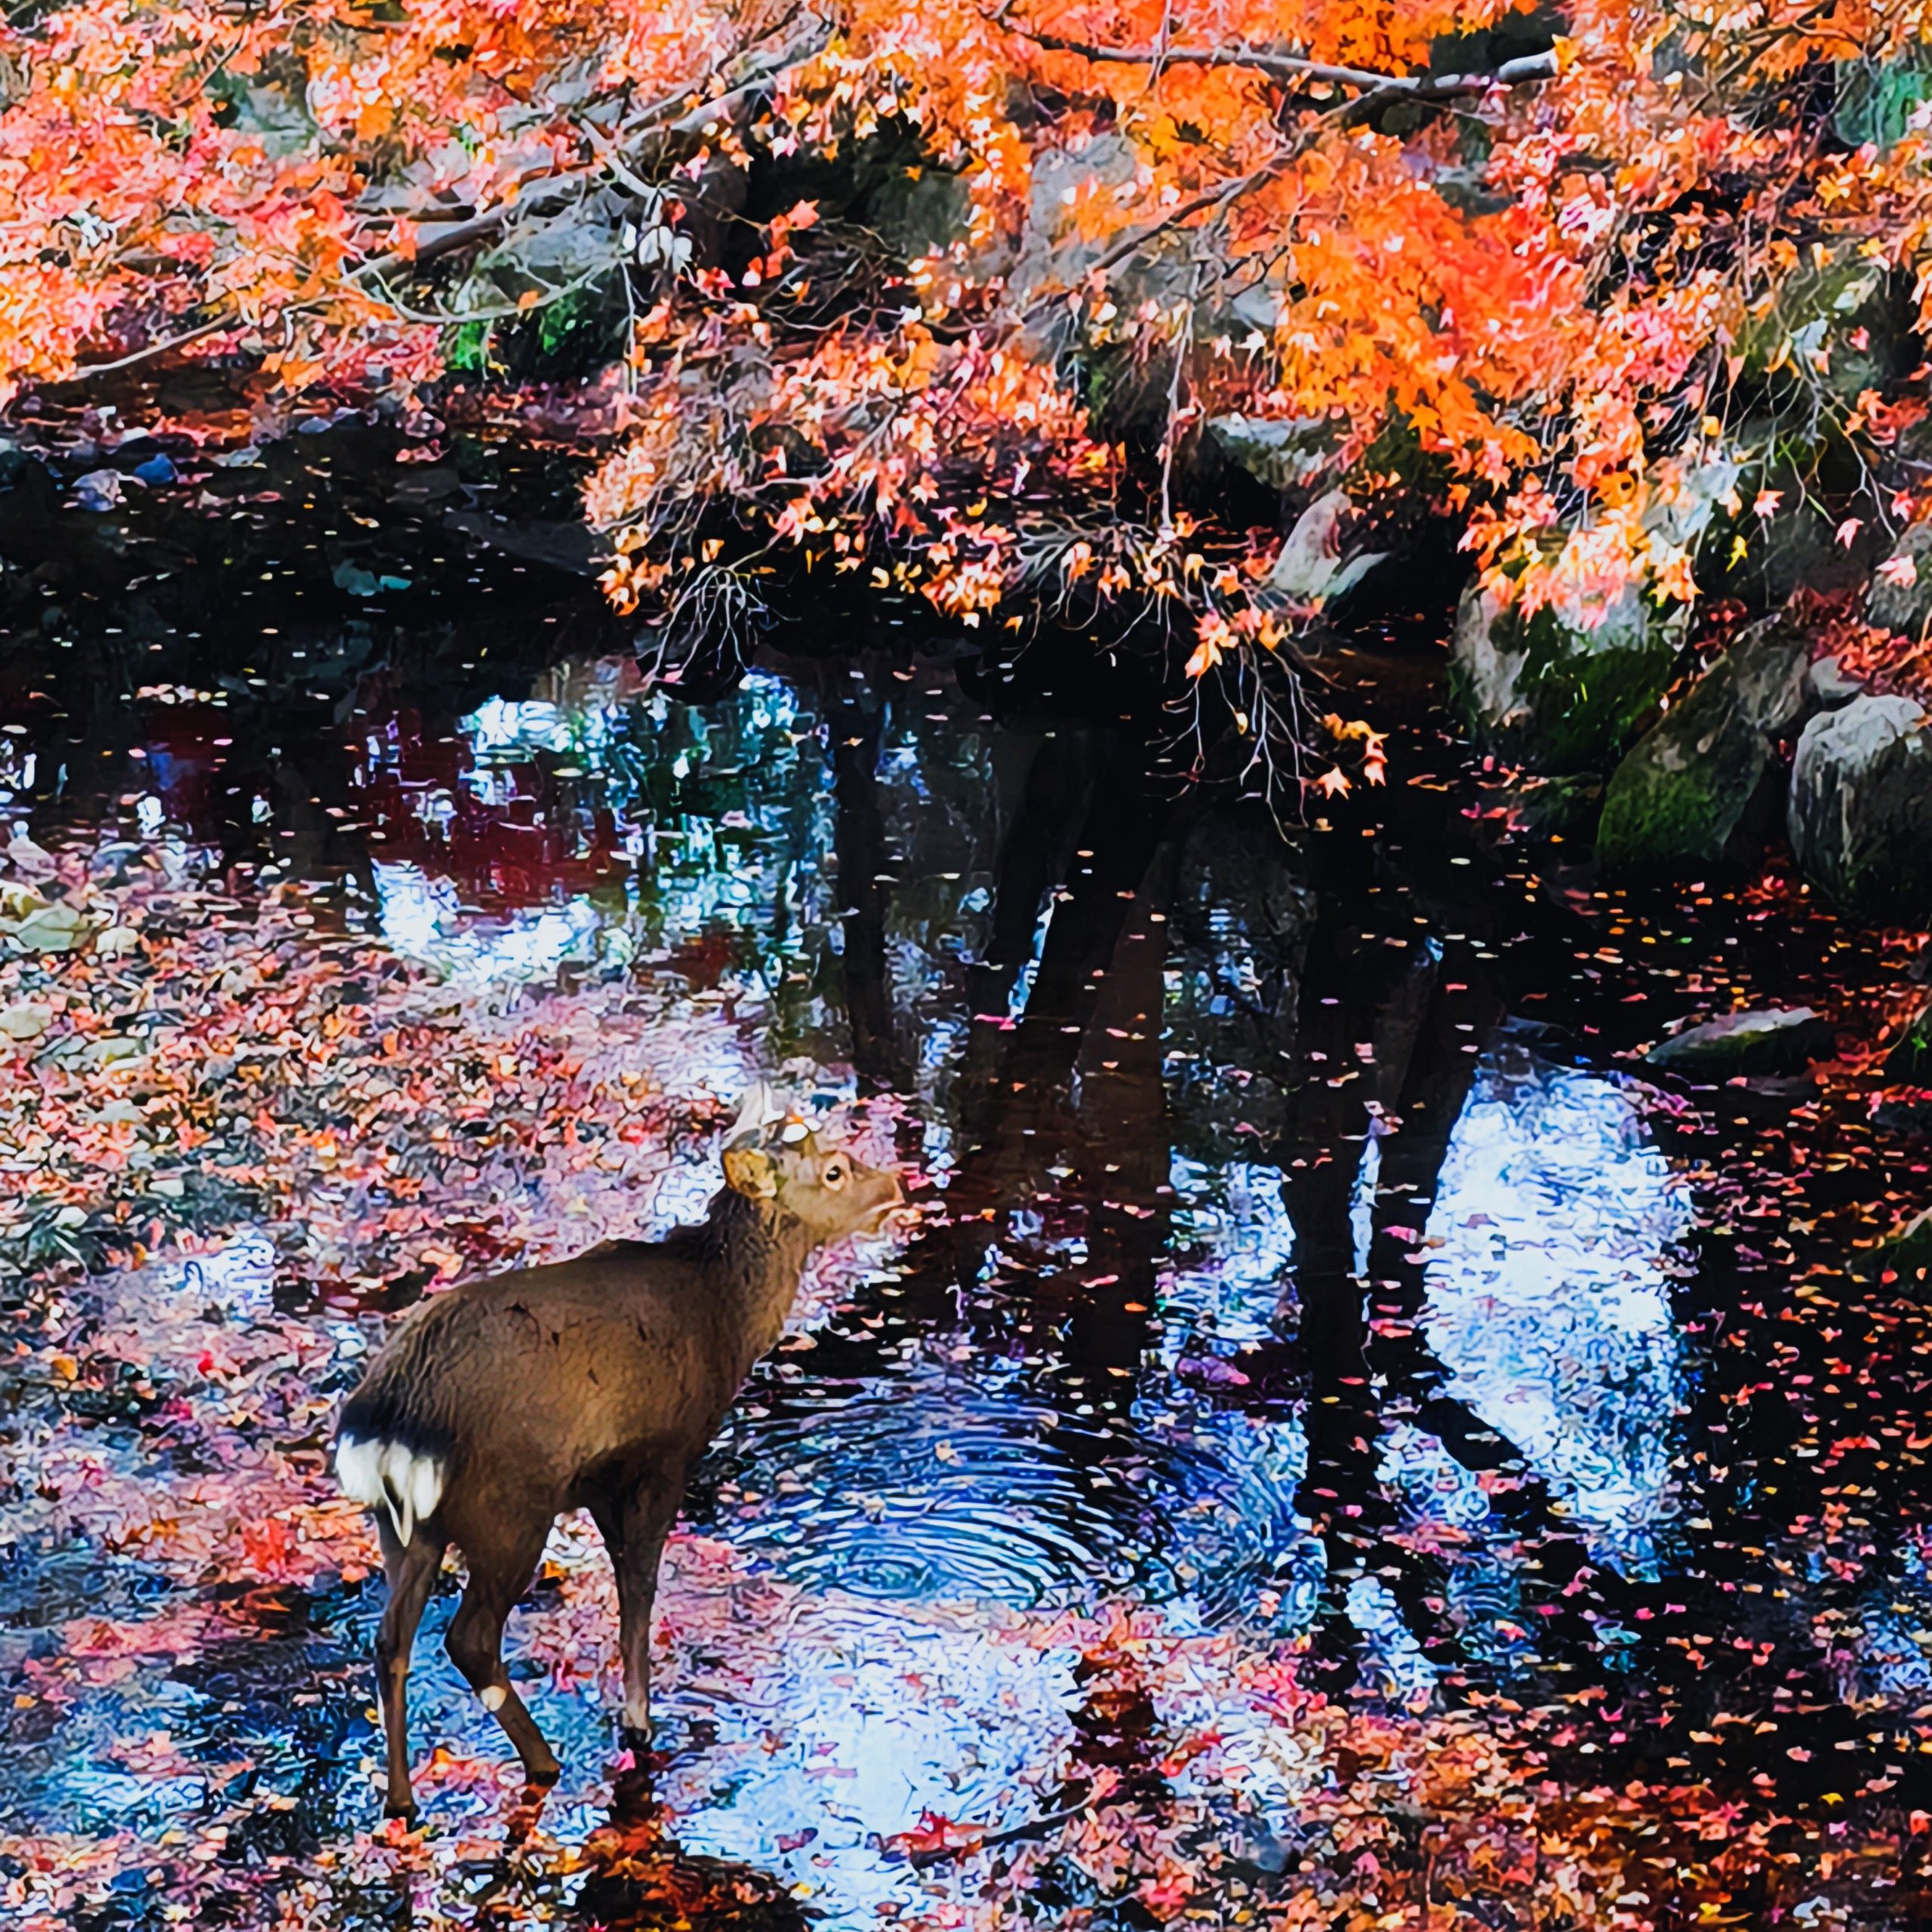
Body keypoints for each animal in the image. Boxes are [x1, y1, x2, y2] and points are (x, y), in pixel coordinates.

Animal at [333, 1086, 905, 1818]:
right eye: (834, 1170)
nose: (894, 1185)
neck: (725, 1320)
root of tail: (390, 1420)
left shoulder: (600, 1482)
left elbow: (624, 1580)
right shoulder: (663, 1452)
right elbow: (640, 1588)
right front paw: (639, 1720)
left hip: (405, 1526)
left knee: (391, 1641)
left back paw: (402, 1800)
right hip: (511, 1507)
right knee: (469, 1639)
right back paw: (544, 1762)